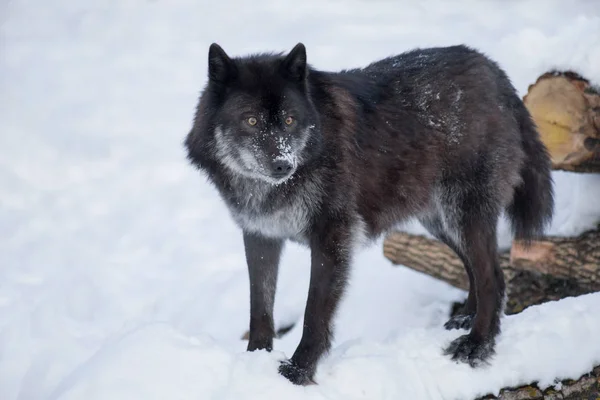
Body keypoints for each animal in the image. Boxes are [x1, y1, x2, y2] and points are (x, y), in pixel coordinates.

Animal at [183, 43, 552, 384]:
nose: (283, 164)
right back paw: (465, 319)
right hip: (439, 221)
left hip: (462, 213)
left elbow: (314, 313)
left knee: (494, 276)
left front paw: (298, 372)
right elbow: (259, 307)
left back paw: (477, 344)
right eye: (251, 120)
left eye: (289, 119)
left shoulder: (332, 238)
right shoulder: (260, 235)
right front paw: (254, 360)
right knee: (474, 267)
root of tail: (492, 69)